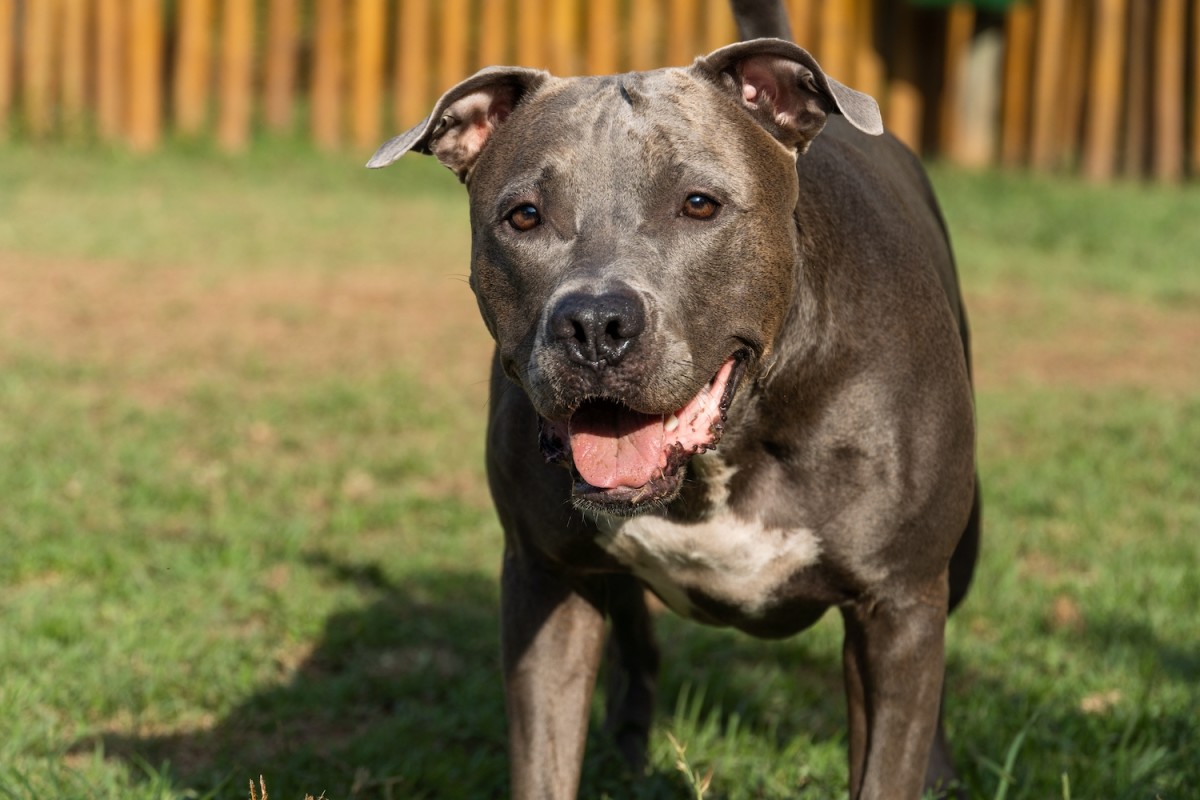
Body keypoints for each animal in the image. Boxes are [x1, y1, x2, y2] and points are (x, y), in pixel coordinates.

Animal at [369, 3, 979, 796]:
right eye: (524, 216)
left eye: (698, 204)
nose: (595, 324)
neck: (729, 445)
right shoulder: (546, 580)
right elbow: (544, 761)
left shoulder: (896, 605)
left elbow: (887, 762)